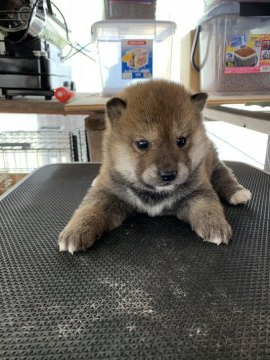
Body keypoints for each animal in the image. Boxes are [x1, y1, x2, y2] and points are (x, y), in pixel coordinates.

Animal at [58, 79, 251, 253]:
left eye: (181, 141)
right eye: (143, 144)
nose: (168, 174)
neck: (154, 193)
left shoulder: (198, 191)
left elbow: (208, 205)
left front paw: (215, 224)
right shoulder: (108, 193)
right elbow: (89, 208)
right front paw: (75, 230)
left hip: (212, 159)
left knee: (223, 173)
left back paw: (237, 192)